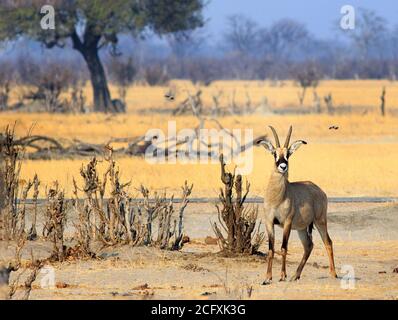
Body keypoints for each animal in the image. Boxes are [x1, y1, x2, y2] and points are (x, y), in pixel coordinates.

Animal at [255, 126, 336, 284]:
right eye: (274, 153)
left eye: (288, 154)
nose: (283, 166)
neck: (277, 197)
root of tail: (319, 190)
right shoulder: (269, 222)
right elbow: (271, 249)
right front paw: (267, 278)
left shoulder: (287, 222)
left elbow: (283, 248)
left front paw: (282, 276)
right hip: (302, 229)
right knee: (309, 246)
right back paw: (295, 275)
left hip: (320, 221)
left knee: (328, 242)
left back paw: (333, 274)